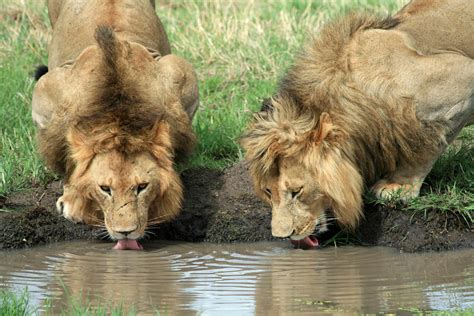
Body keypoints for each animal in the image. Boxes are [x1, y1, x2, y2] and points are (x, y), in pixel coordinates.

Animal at [31, 1, 198, 251]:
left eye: (142, 187)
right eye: (105, 189)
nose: (125, 233)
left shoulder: (180, 74)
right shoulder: (46, 91)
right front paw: (71, 201)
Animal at [243, 0, 472, 248]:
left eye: (297, 191)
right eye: (268, 191)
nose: (282, 236)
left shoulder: (461, 77)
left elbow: (426, 146)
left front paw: (399, 186)